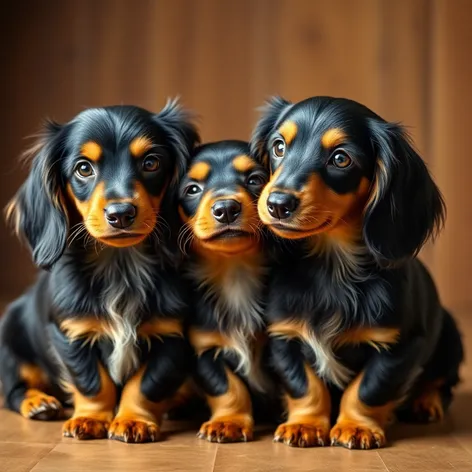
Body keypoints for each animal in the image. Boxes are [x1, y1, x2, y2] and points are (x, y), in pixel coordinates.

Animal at [0, 100, 199, 442]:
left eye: (151, 162)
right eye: (83, 168)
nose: (121, 214)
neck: (121, 265)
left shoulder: (171, 333)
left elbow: (147, 383)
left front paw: (133, 420)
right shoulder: (71, 332)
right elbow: (92, 381)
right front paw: (90, 419)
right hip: (11, 340)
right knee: (14, 389)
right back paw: (38, 403)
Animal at [178, 140, 272, 442]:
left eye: (255, 179)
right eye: (192, 189)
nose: (227, 208)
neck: (235, 272)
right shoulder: (206, 347)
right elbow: (228, 388)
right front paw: (228, 422)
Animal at [251, 96, 464, 450]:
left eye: (341, 158)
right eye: (279, 146)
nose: (277, 204)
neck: (333, 269)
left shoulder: (399, 345)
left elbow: (368, 389)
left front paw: (357, 426)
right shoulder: (284, 336)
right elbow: (305, 385)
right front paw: (305, 424)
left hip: (450, 336)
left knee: (441, 382)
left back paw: (426, 403)